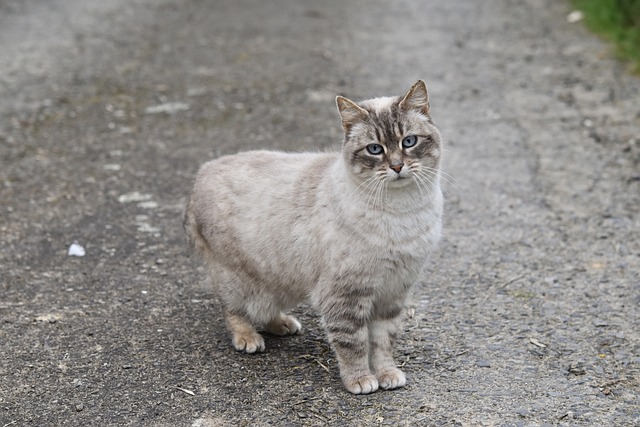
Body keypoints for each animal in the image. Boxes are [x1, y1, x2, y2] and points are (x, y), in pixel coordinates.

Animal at [185, 80, 442, 394]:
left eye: (409, 142)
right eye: (375, 149)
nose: (396, 167)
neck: (402, 213)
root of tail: (203, 172)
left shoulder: (393, 293)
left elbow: (383, 343)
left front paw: (387, 375)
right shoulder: (346, 296)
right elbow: (353, 344)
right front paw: (361, 380)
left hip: (280, 279)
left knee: (265, 309)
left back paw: (283, 325)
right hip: (237, 279)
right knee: (235, 310)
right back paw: (248, 338)